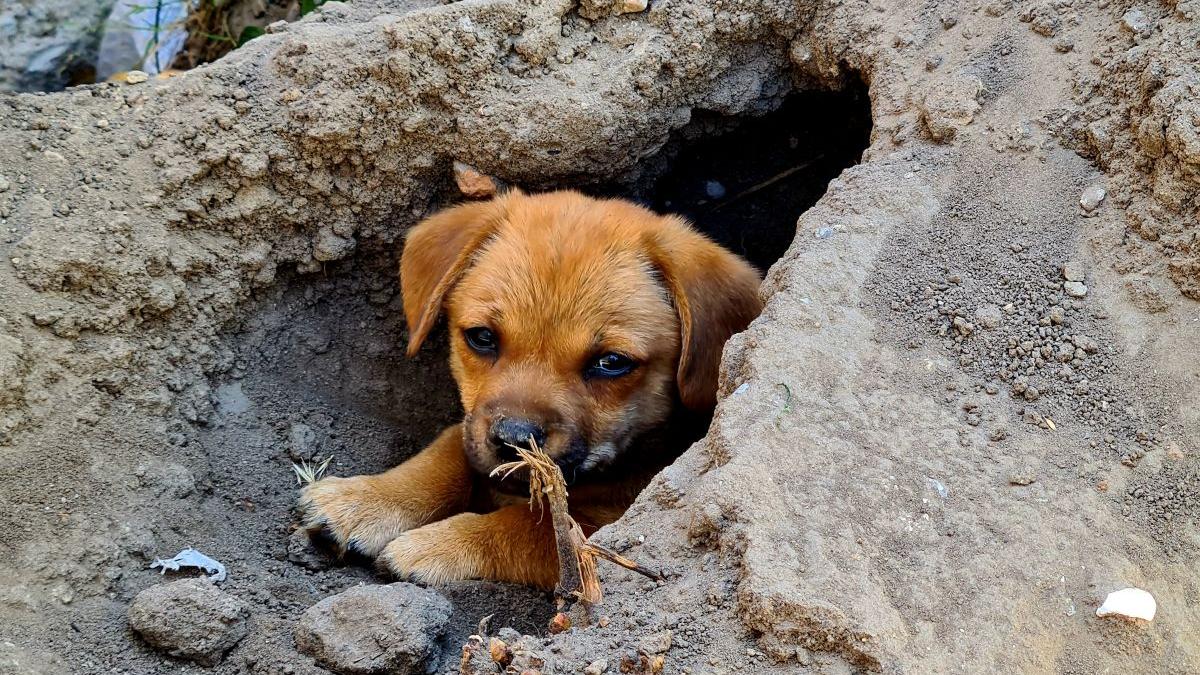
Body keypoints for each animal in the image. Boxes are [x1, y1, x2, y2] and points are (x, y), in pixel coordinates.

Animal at [298, 187, 758, 583]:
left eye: (611, 363)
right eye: (482, 337)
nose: (514, 440)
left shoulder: (607, 522)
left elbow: (529, 526)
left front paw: (437, 544)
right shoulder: (472, 430)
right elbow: (447, 452)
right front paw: (366, 499)